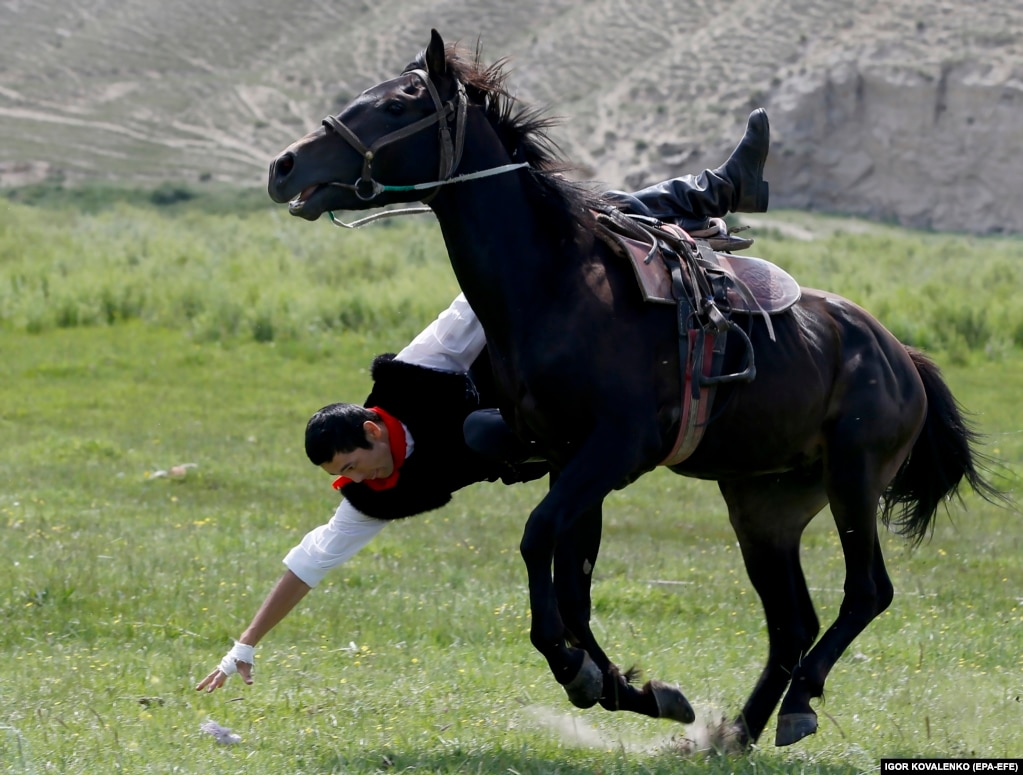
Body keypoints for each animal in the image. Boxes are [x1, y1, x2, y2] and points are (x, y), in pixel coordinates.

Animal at [265, 31, 998, 752]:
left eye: (398, 103)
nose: (284, 166)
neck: (557, 285)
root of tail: (900, 355)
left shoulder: (613, 451)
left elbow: (538, 542)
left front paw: (586, 673)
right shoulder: (570, 462)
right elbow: (572, 582)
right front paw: (624, 686)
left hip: (853, 477)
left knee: (865, 592)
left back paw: (794, 705)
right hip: (764, 506)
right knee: (792, 620)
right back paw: (736, 732)